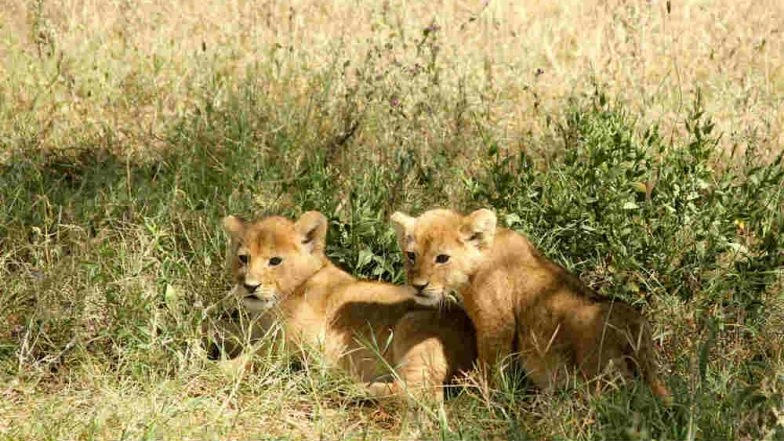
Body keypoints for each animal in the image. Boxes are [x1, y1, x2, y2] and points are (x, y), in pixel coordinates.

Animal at [213, 211, 476, 401]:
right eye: (243, 258)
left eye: (275, 261)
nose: (249, 286)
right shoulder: (258, 331)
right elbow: (223, 328)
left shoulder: (299, 343)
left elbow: (256, 357)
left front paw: (218, 367)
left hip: (413, 325)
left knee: (419, 392)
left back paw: (345, 386)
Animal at [390, 208, 671, 401]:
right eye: (411, 255)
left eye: (442, 258)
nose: (418, 286)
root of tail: (635, 325)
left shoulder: (497, 324)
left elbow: (492, 365)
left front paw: (483, 396)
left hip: (599, 371)